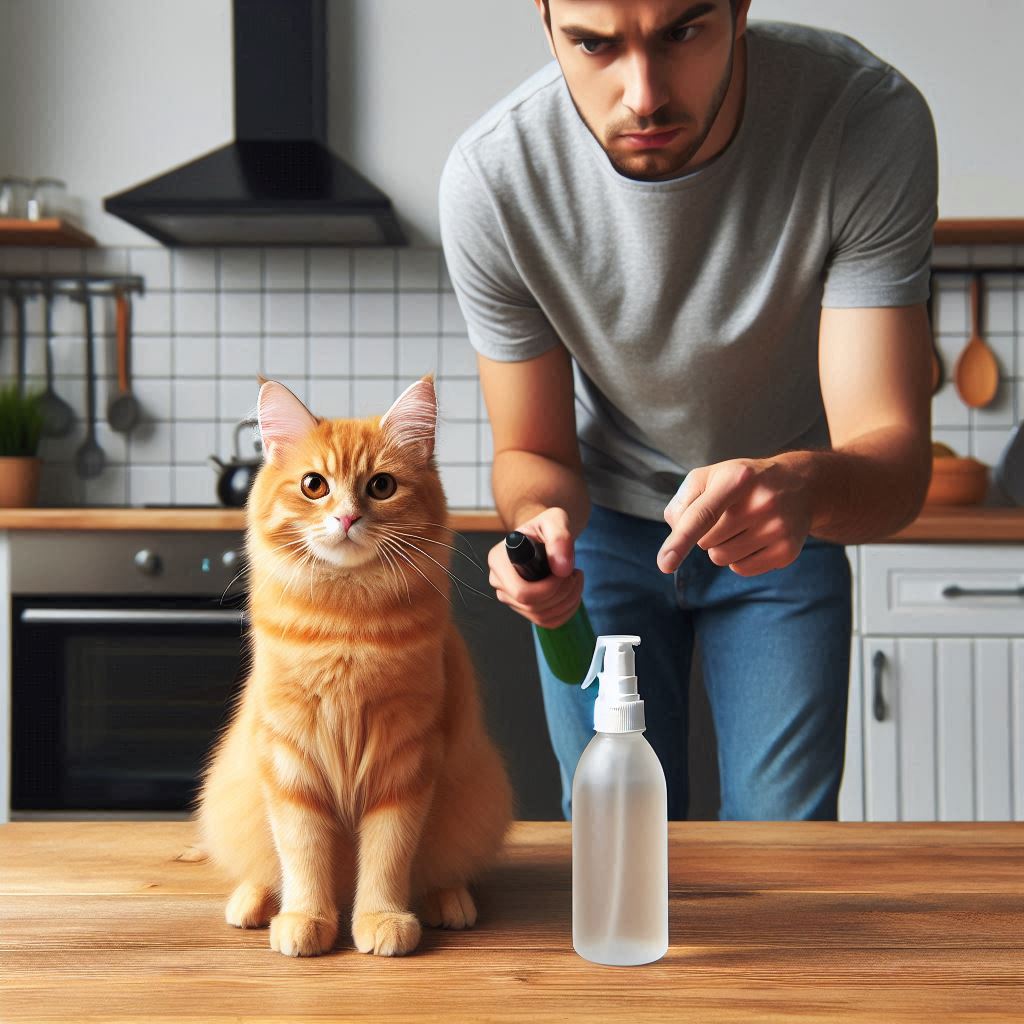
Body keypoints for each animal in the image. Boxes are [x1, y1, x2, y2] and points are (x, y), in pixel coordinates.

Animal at [194, 376, 516, 958]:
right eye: (314, 486)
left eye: (381, 486)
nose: (346, 518)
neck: (345, 630)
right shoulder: (290, 756)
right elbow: (302, 853)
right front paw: (306, 919)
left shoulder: (405, 758)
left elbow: (387, 856)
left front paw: (381, 919)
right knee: (262, 870)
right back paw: (252, 904)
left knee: (443, 873)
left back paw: (450, 903)